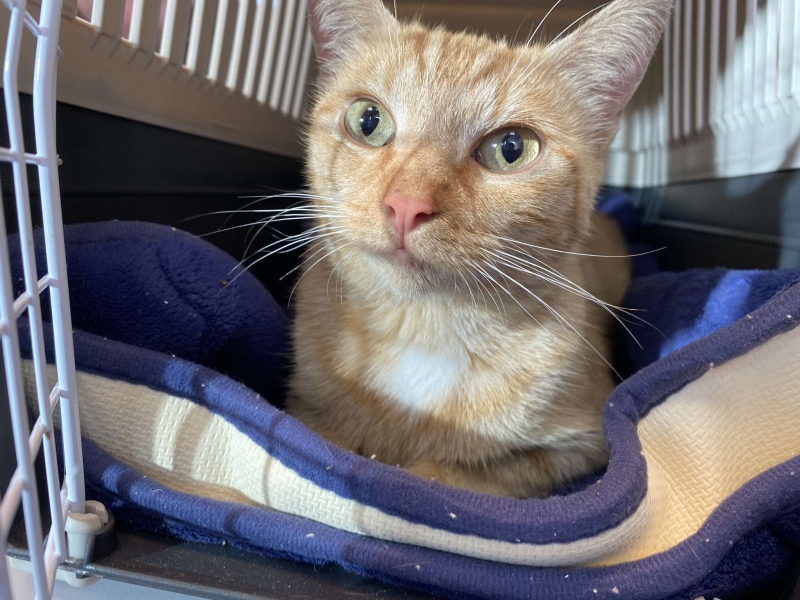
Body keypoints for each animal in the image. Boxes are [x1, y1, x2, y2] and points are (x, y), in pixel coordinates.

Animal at [285, 0, 671, 498]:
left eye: (511, 148)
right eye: (368, 121)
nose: (406, 205)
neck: (423, 325)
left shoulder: (586, 446)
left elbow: (466, 476)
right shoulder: (302, 409)